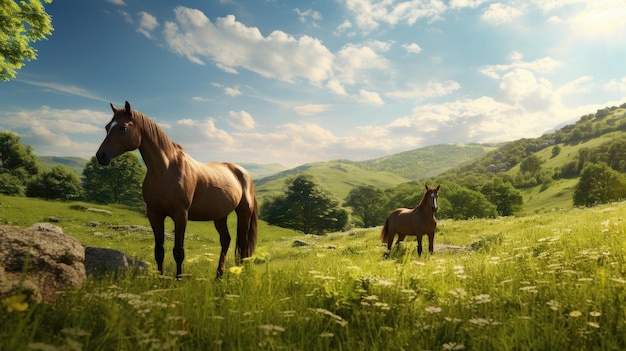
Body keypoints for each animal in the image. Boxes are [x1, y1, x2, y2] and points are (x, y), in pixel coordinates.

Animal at [95, 100, 256, 280]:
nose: (101, 156)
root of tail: (243, 173)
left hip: (244, 213)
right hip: (220, 215)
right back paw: (219, 276)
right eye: (107, 127)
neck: (165, 170)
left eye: (123, 127)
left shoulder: (181, 215)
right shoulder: (155, 214)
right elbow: (159, 251)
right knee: (226, 240)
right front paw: (160, 279)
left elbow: (178, 252)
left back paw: (240, 274)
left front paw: (178, 279)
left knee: (242, 244)